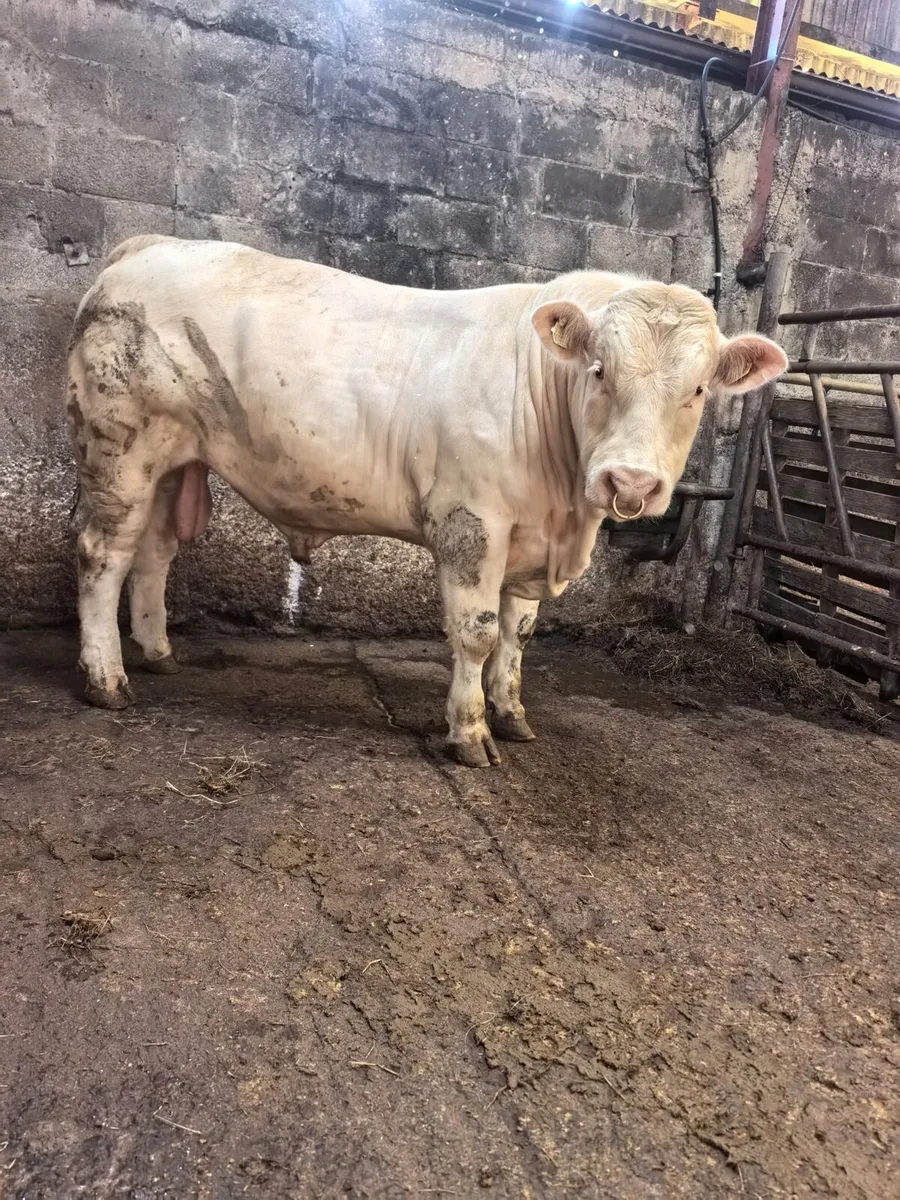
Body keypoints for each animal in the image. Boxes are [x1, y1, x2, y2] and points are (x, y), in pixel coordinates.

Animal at [67, 236, 787, 767]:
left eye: (698, 390)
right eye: (599, 370)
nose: (630, 483)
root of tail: (148, 245)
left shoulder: (530, 537)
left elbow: (519, 634)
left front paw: (511, 712)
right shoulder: (472, 523)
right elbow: (478, 633)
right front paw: (470, 733)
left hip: (172, 461)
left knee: (153, 553)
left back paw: (158, 653)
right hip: (120, 447)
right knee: (103, 554)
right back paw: (106, 679)